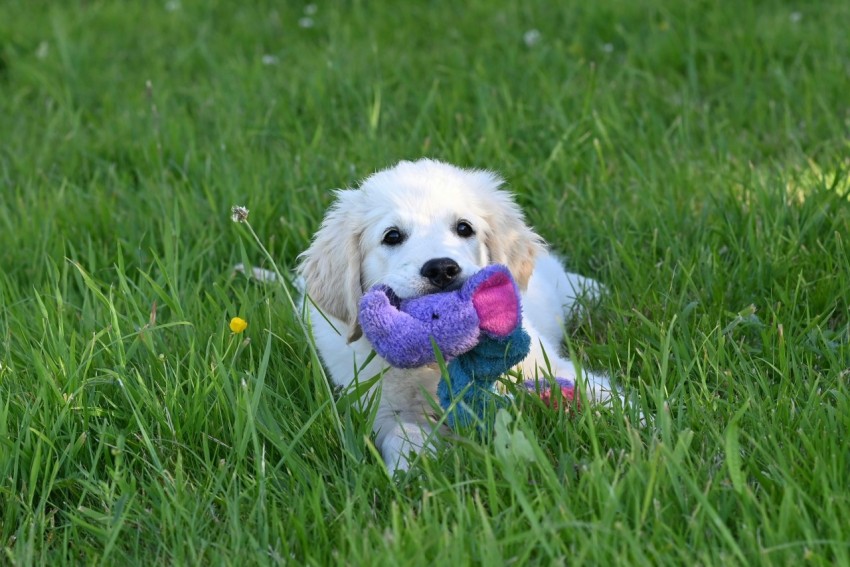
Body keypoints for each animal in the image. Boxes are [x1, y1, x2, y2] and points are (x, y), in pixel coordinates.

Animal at [296, 159, 608, 470]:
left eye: (464, 228)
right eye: (392, 236)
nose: (441, 269)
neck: (438, 361)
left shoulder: (547, 365)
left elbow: (595, 390)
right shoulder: (379, 406)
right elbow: (402, 433)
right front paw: (414, 467)